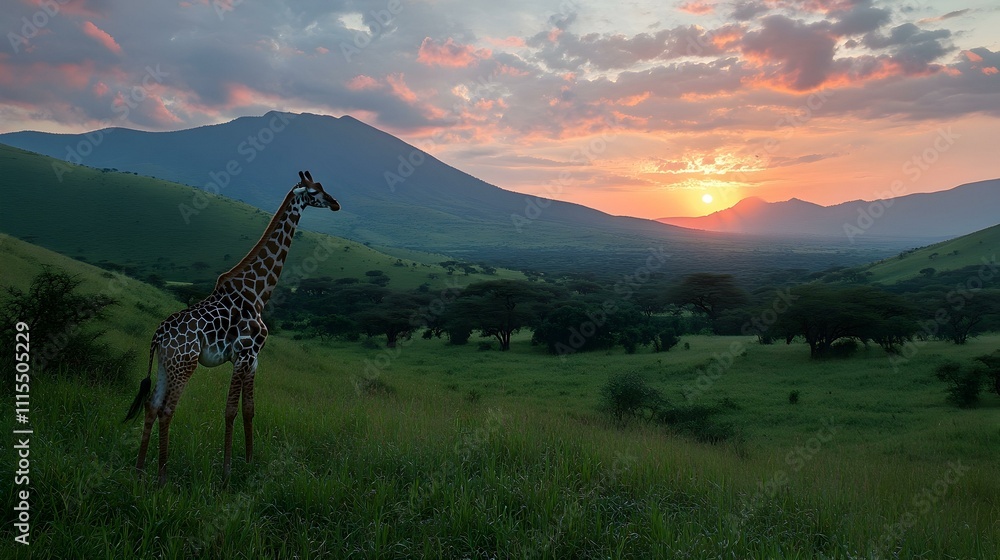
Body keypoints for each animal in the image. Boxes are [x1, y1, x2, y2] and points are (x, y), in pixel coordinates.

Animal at [125, 170, 340, 486]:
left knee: (152, 406)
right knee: (166, 409)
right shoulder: (243, 354)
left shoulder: (254, 359)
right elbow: (230, 411)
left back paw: (139, 471)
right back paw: (162, 476)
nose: (336, 203)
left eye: (324, 187)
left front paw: (249, 464)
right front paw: (226, 474)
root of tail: (157, 336)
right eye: (314, 192)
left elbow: (249, 409)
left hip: (167, 364)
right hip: (185, 364)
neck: (258, 292)